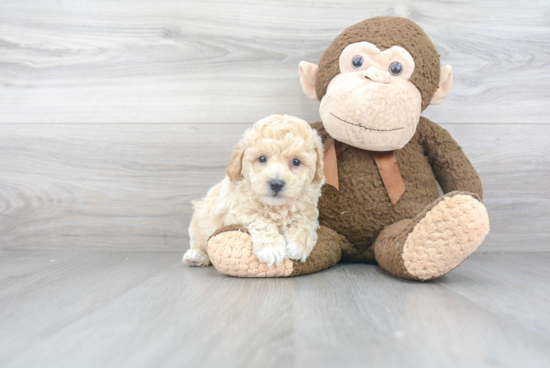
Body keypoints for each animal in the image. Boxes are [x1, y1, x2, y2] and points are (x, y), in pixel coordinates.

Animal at [183, 115, 326, 268]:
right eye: (262, 158)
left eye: (296, 162)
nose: (276, 184)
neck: (276, 207)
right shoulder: (236, 213)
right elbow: (261, 219)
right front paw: (271, 248)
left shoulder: (309, 210)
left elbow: (305, 222)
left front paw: (299, 245)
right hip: (199, 220)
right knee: (198, 241)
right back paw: (196, 256)